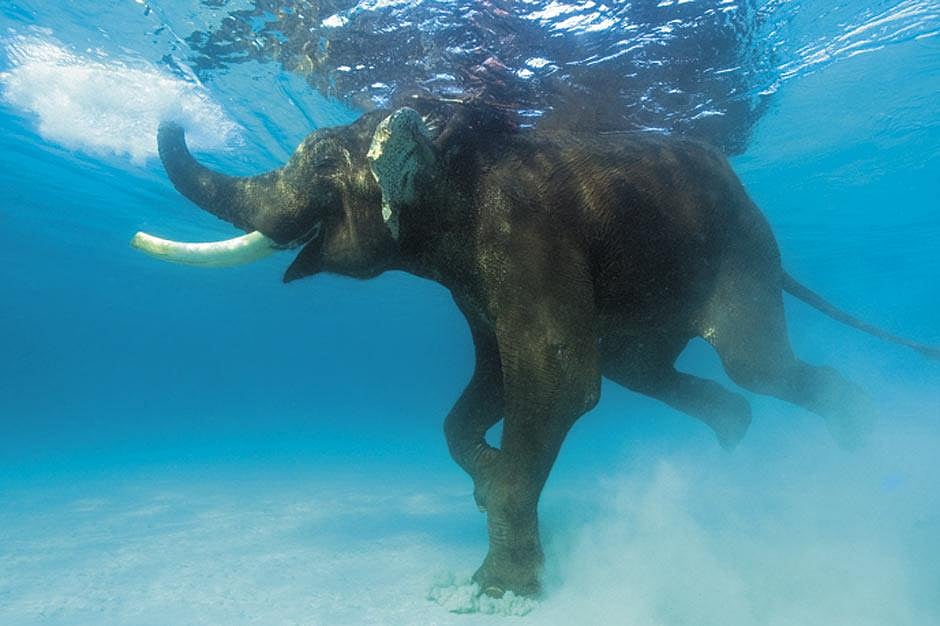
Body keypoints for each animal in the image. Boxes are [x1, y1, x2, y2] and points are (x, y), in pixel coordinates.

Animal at [133, 101, 939, 598]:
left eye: (326, 160)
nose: (171, 116)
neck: (450, 142)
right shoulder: (478, 281)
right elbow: (490, 384)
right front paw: (485, 473)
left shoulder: (524, 235)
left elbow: (557, 378)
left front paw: (497, 588)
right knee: (639, 366)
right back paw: (735, 433)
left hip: (739, 258)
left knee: (752, 363)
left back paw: (860, 430)